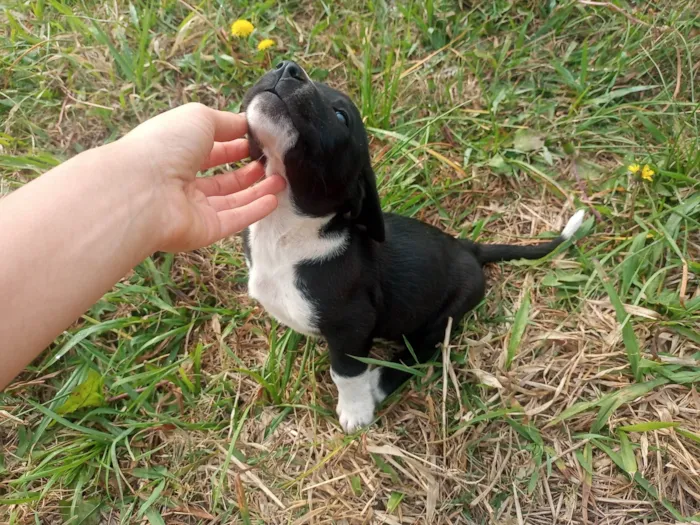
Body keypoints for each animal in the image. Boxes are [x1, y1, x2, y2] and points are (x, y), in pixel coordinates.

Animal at [242, 61, 584, 432]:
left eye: (341, 115)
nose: (288, 68)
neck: (286, 234)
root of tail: (468, 248)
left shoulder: (352, 327)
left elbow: (345, 373)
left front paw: (356, 410)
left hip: (444, 314)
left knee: (422, 351)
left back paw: (379, 384)